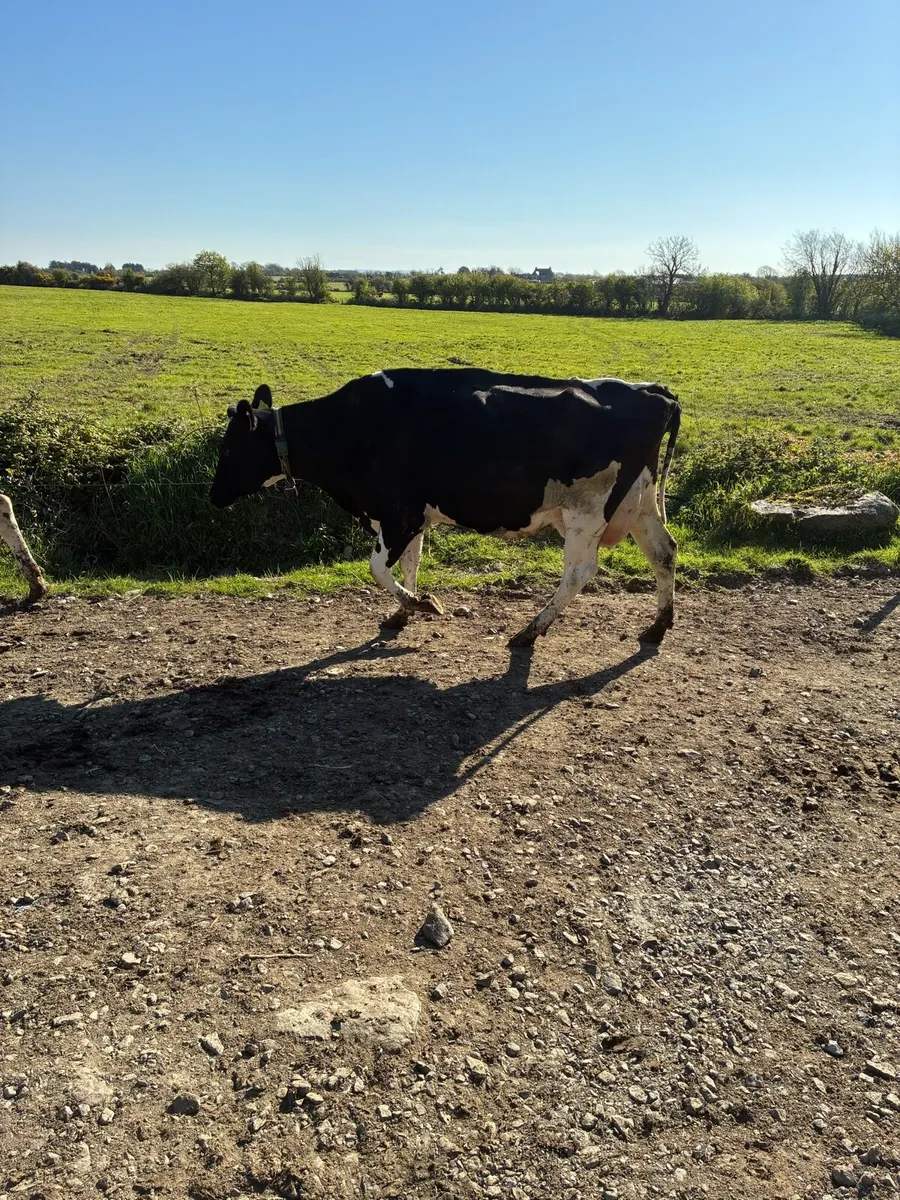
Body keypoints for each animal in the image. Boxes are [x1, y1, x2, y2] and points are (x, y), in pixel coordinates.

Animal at [209, 368, 680, 647]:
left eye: (229, 449)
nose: (212, 497)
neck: (351, 427)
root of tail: (653, 392)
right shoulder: (409, 517)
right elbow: (409, 565)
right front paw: (403, 611)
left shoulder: (399, 513)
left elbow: (377, 569)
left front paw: (423, 604)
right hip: (640, 505)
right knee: (664, 552)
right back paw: (658, 625)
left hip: (587, 511)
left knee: (579, 572)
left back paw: (529, 631)